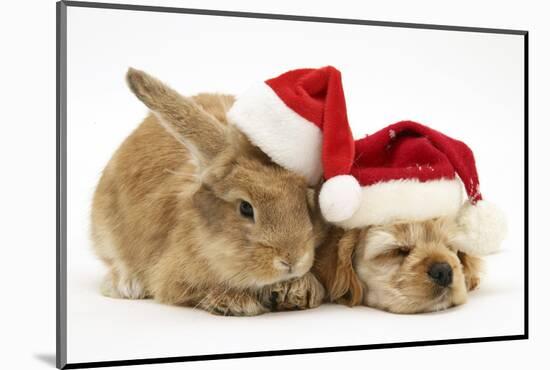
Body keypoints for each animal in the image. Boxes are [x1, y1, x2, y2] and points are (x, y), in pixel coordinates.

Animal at [90, 68, 326, 316]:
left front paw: (299, 290)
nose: (292, 260)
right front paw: (237, 302)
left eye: (306, 201)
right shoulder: (172, 277)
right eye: (245, 208)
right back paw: (126, 285)